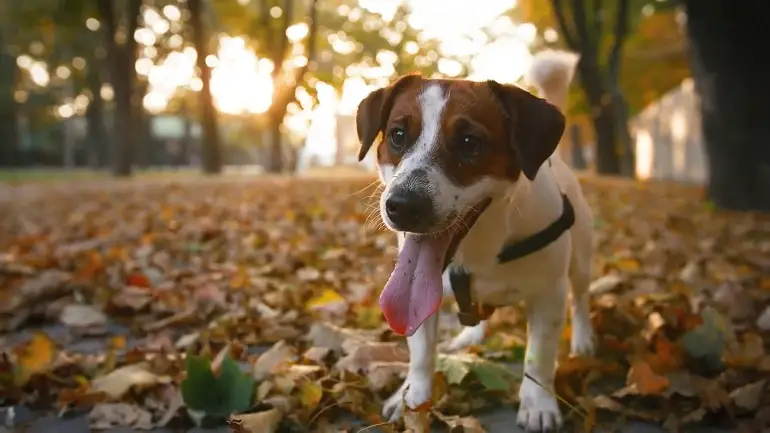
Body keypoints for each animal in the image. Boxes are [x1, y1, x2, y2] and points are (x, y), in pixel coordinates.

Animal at [354, 49, 592, 430]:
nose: (402, 206)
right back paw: (470, 336)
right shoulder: (419, 299)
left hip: (581, 260)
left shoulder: (548, 296)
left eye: (469, 142)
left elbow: (538, 357)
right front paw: (413, 397)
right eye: (397, 135)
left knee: (581, 298)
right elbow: (421, 353)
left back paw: (583, 341)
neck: (480, 246)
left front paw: (538, 403)